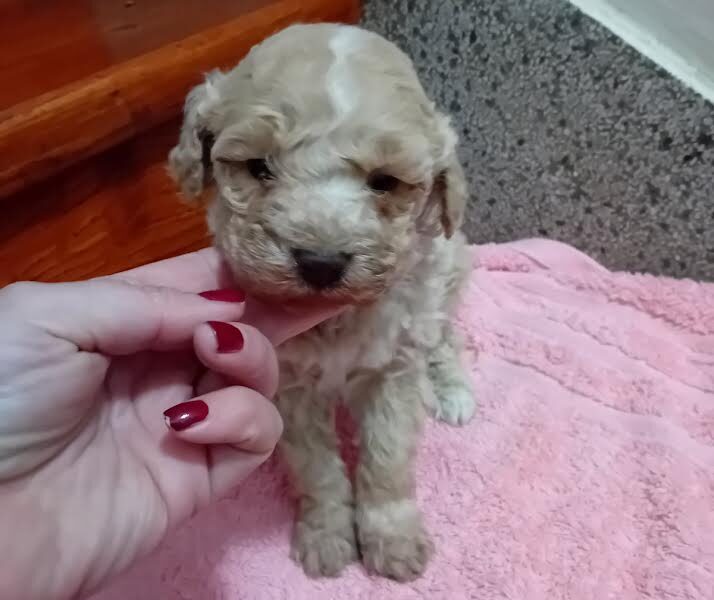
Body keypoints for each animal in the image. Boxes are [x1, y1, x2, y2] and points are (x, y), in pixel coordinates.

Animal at [170, 23, 476, 580]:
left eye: (384, 181)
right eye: (258, 167)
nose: (320, 262)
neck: (338, 319)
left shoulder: (395, 368)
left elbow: (387, 460)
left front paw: (393, 540)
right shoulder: (287, 382)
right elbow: (316, 469)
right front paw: (327, 536)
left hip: (451, 265)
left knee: (445, 335)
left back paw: (452, 390)